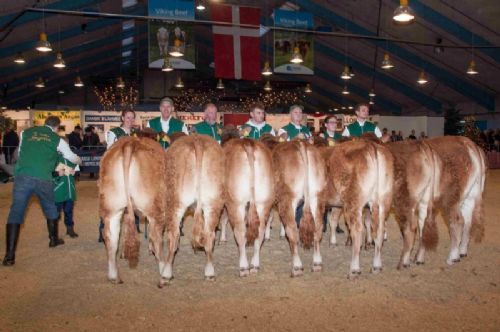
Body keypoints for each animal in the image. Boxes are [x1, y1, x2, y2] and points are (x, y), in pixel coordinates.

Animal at [98, 136, 168, 284]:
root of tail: (129, 143)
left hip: (112, 206)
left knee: (110, 237)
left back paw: (114, 276)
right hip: (155, 207)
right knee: (156, 236)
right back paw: (164, 275)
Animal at [224, 139, 276, 276]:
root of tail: (248, 143)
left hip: (237, 204)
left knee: (240, 232)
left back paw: (243, 267)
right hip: (263, 202)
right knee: (260, 232)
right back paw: (254, 265)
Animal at [272, 139, 326, 276]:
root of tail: (300, 143)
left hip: (288, 199)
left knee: (292, 231)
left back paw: (297, 267)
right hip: (316, 196)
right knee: (318, 229)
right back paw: (317, 264)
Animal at [324, 139, 394, 278]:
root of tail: (370, 145)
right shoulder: (337, 203)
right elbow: (333, 220)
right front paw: (333, 242)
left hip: (353, 202)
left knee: (357, 231)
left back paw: (354, 269)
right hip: (383, 201)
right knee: (379, 230)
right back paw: (376, 266)